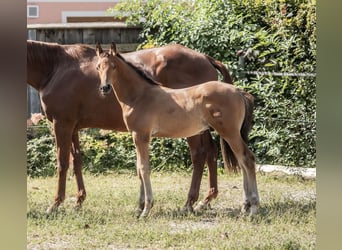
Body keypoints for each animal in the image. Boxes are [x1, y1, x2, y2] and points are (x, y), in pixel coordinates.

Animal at [27, 40, 235, 213]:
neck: (55, 68)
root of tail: (206, 58)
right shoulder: (73, 127)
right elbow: (76, 160)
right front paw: (79, 200)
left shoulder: (62, 124)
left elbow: (62, 162)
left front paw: (56, 204)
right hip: (201, 127)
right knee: (211, 151)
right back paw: (206, 200)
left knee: (199, 155)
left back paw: (189, 202)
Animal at [94, 43, 260, 219]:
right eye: (98, 67)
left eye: (113, 66)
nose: (104, 88)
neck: (139, 96)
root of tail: (239, 91)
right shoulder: (136, 136)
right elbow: (139, 169)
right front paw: (140, 208)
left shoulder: (141, 136)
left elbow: (144, 168)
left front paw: (146, 209)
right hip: (231, 134)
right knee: (242, 161)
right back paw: (245, 206)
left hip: (229, 132)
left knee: (247, 159)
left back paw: (253, 208)